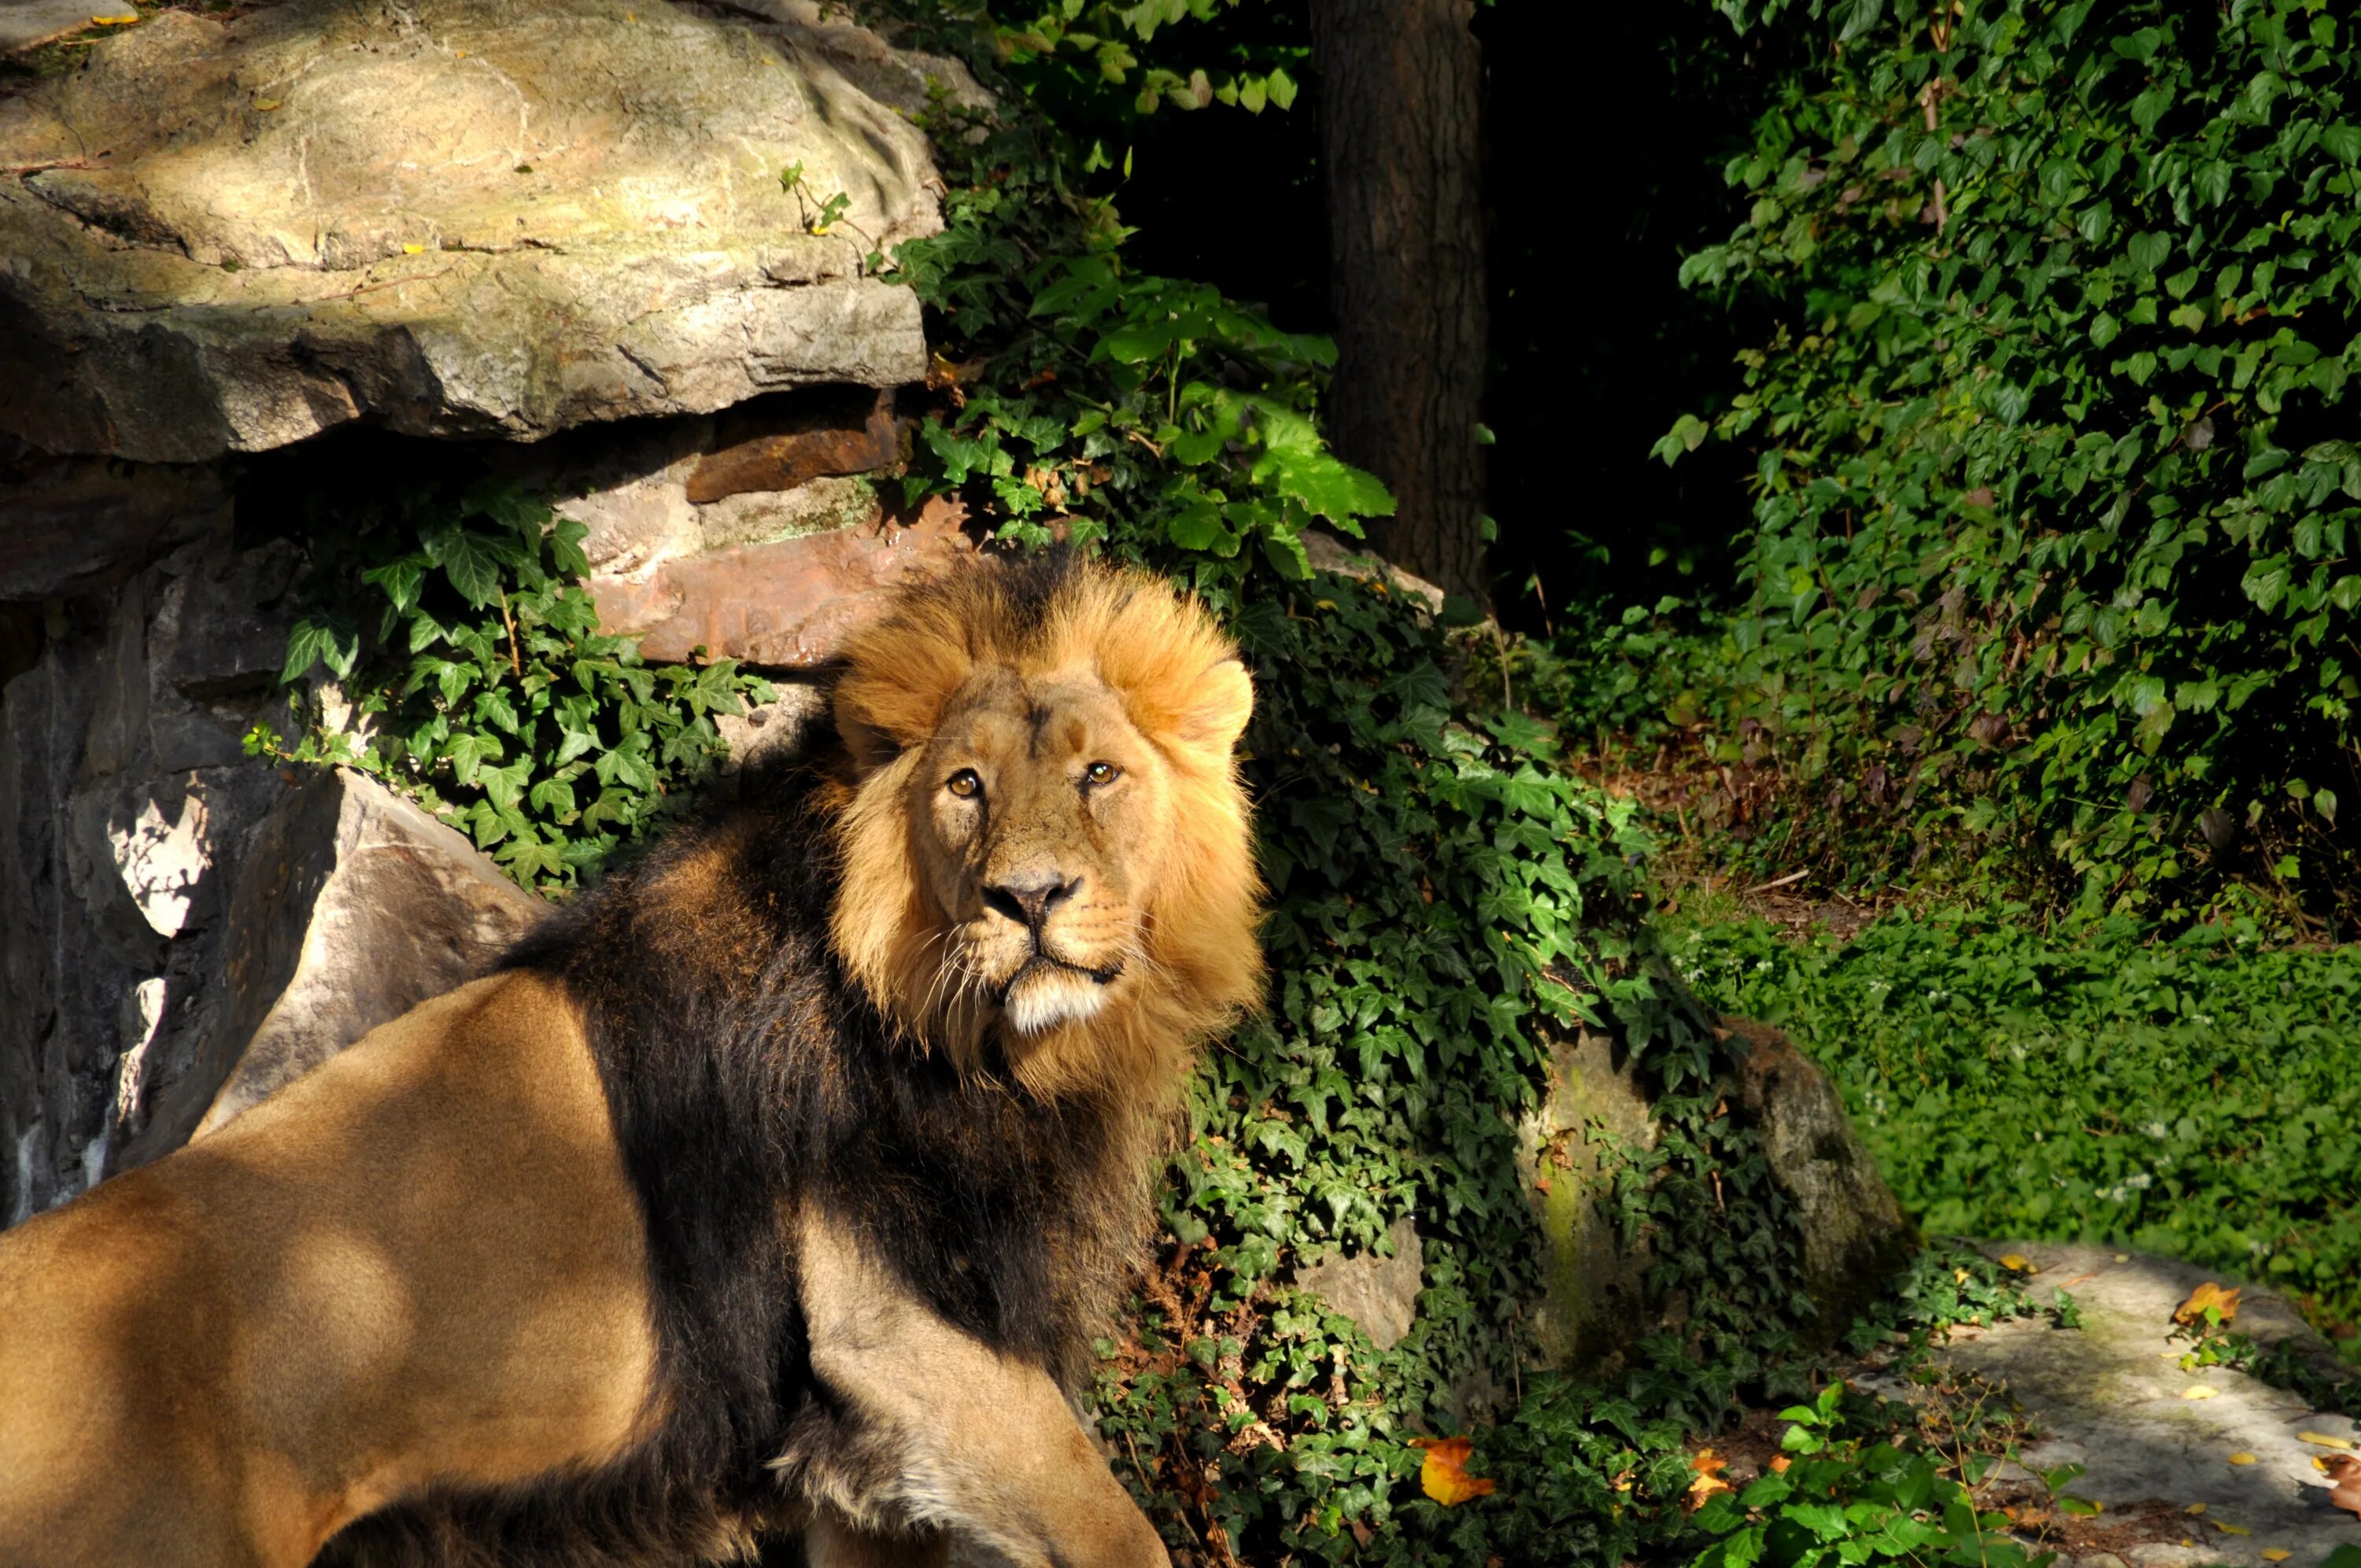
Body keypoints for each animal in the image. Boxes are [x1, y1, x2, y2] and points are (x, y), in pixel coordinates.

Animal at [0, 555, 1265, 1568]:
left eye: (1100, 775)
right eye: (967, 786)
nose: (1029, 898)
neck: (987, 1051)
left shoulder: (864, 1458)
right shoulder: (892, 1328)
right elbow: (1121, 1531)